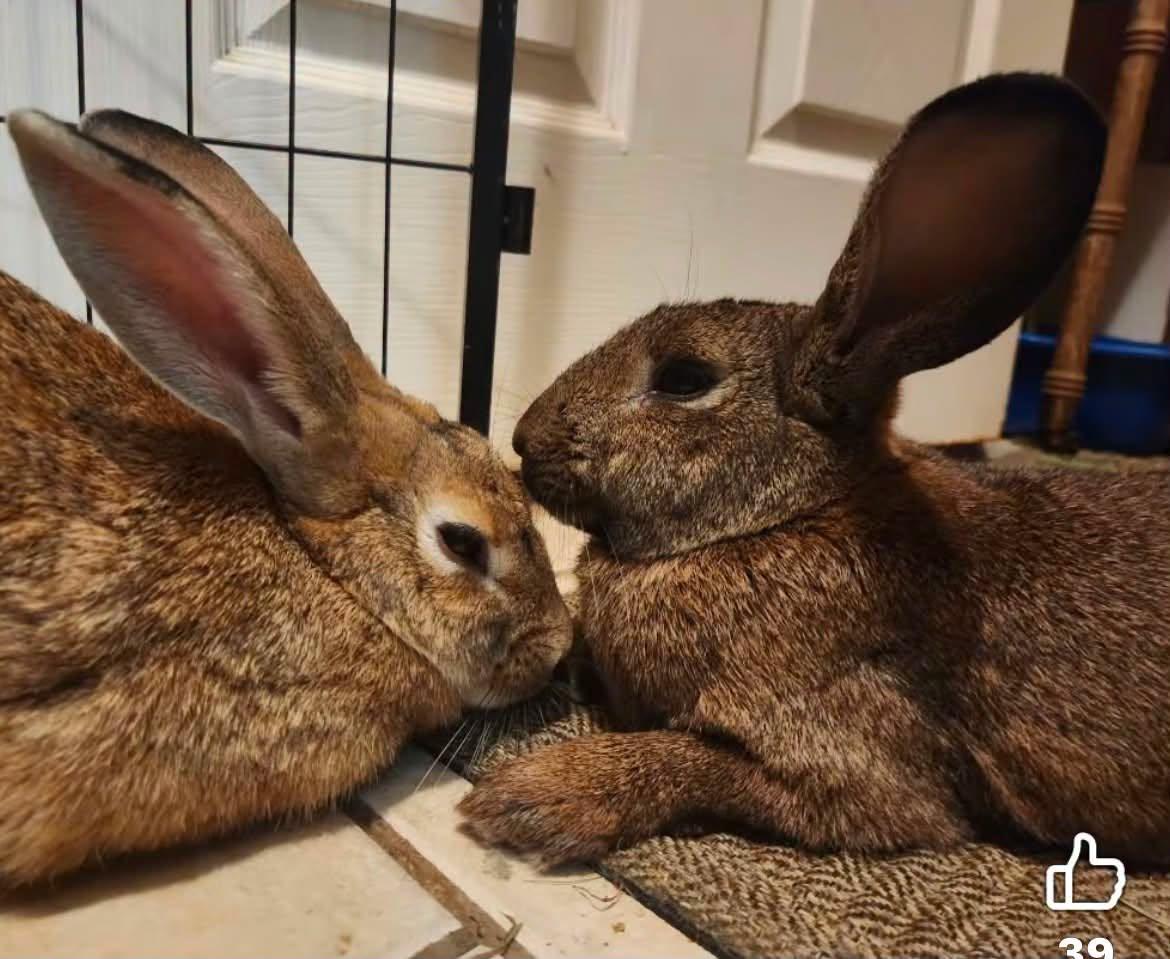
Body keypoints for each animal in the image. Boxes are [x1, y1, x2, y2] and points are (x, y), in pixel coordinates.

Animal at [458, 73, 1170, 869]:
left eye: (683, 378)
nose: (524, 440)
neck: (788, 518)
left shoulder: (862, 773)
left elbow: (695, 760)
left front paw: (533, 796)